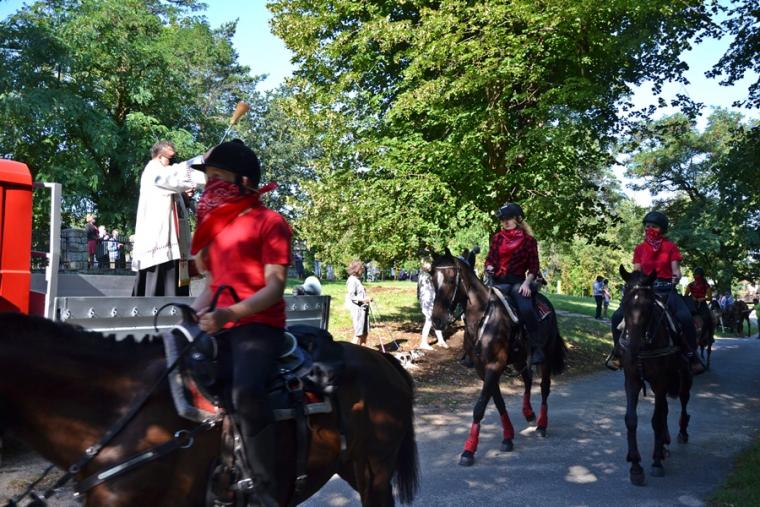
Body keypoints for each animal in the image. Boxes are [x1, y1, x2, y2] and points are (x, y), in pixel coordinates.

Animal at [429, 251, 567, 467]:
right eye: (432, 278)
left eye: (452, 279)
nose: (437, 320)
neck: (482, 317)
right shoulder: (483, 369)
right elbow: (498, 401)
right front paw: (508, 437)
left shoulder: (495, 366)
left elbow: (480, 407)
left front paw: (469, 450)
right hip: (519, 359)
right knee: (528, 380)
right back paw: (529, 413)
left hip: (545, 356)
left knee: (545, 387)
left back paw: (542, 425)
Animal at [617, 266, 693, 486]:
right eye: (624, 304)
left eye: (648, 306)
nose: (633, 350)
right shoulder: (632, 380)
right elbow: (631, 419)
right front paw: (635, 466)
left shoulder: (660, 382)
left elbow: (656, 420)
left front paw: (656, 462)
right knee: (665, 409)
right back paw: (665, 444)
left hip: (684, 377)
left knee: (683, 401)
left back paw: (681, 433)